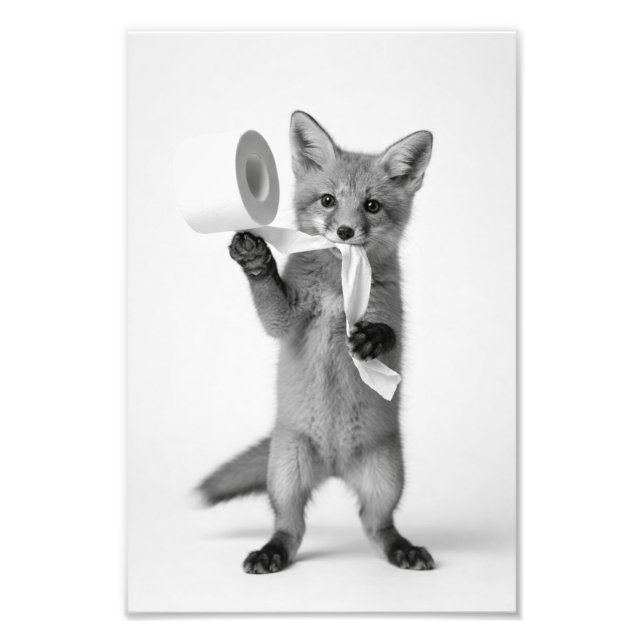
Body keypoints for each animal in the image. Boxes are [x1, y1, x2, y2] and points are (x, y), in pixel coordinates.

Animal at [197, 111, 435, 573]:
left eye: (372, 205)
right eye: (327, 200)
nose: (344, 230)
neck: (338, 284)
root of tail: (334, 466)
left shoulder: (393, 316)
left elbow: (389, 336)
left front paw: (372, 338)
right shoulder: (287, 320)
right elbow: (270, 303)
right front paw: (257, 260)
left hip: (386, 477)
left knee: (376, 525)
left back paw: (402, 548)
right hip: (286, 473)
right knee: (291, 528)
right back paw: (271, 552)